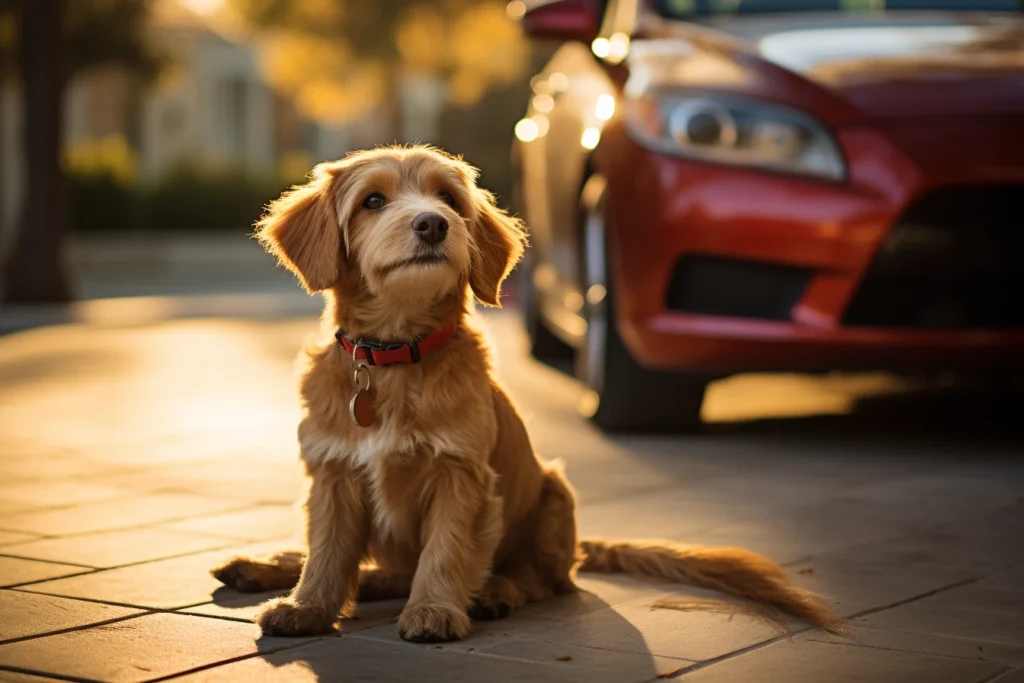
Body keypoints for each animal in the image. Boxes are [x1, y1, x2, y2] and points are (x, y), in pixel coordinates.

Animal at [209, 147, 839, 643]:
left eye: (447, 198)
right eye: (373, 201)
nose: (433, 224)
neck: (394, 356)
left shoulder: (461, 476)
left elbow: (445, 549)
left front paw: (435, 609)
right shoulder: (333, 475)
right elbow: (327, 552)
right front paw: (308, 606)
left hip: (556, 493)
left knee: (536, 579)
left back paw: (494, 591)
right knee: (367, 565)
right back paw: (266, 567)